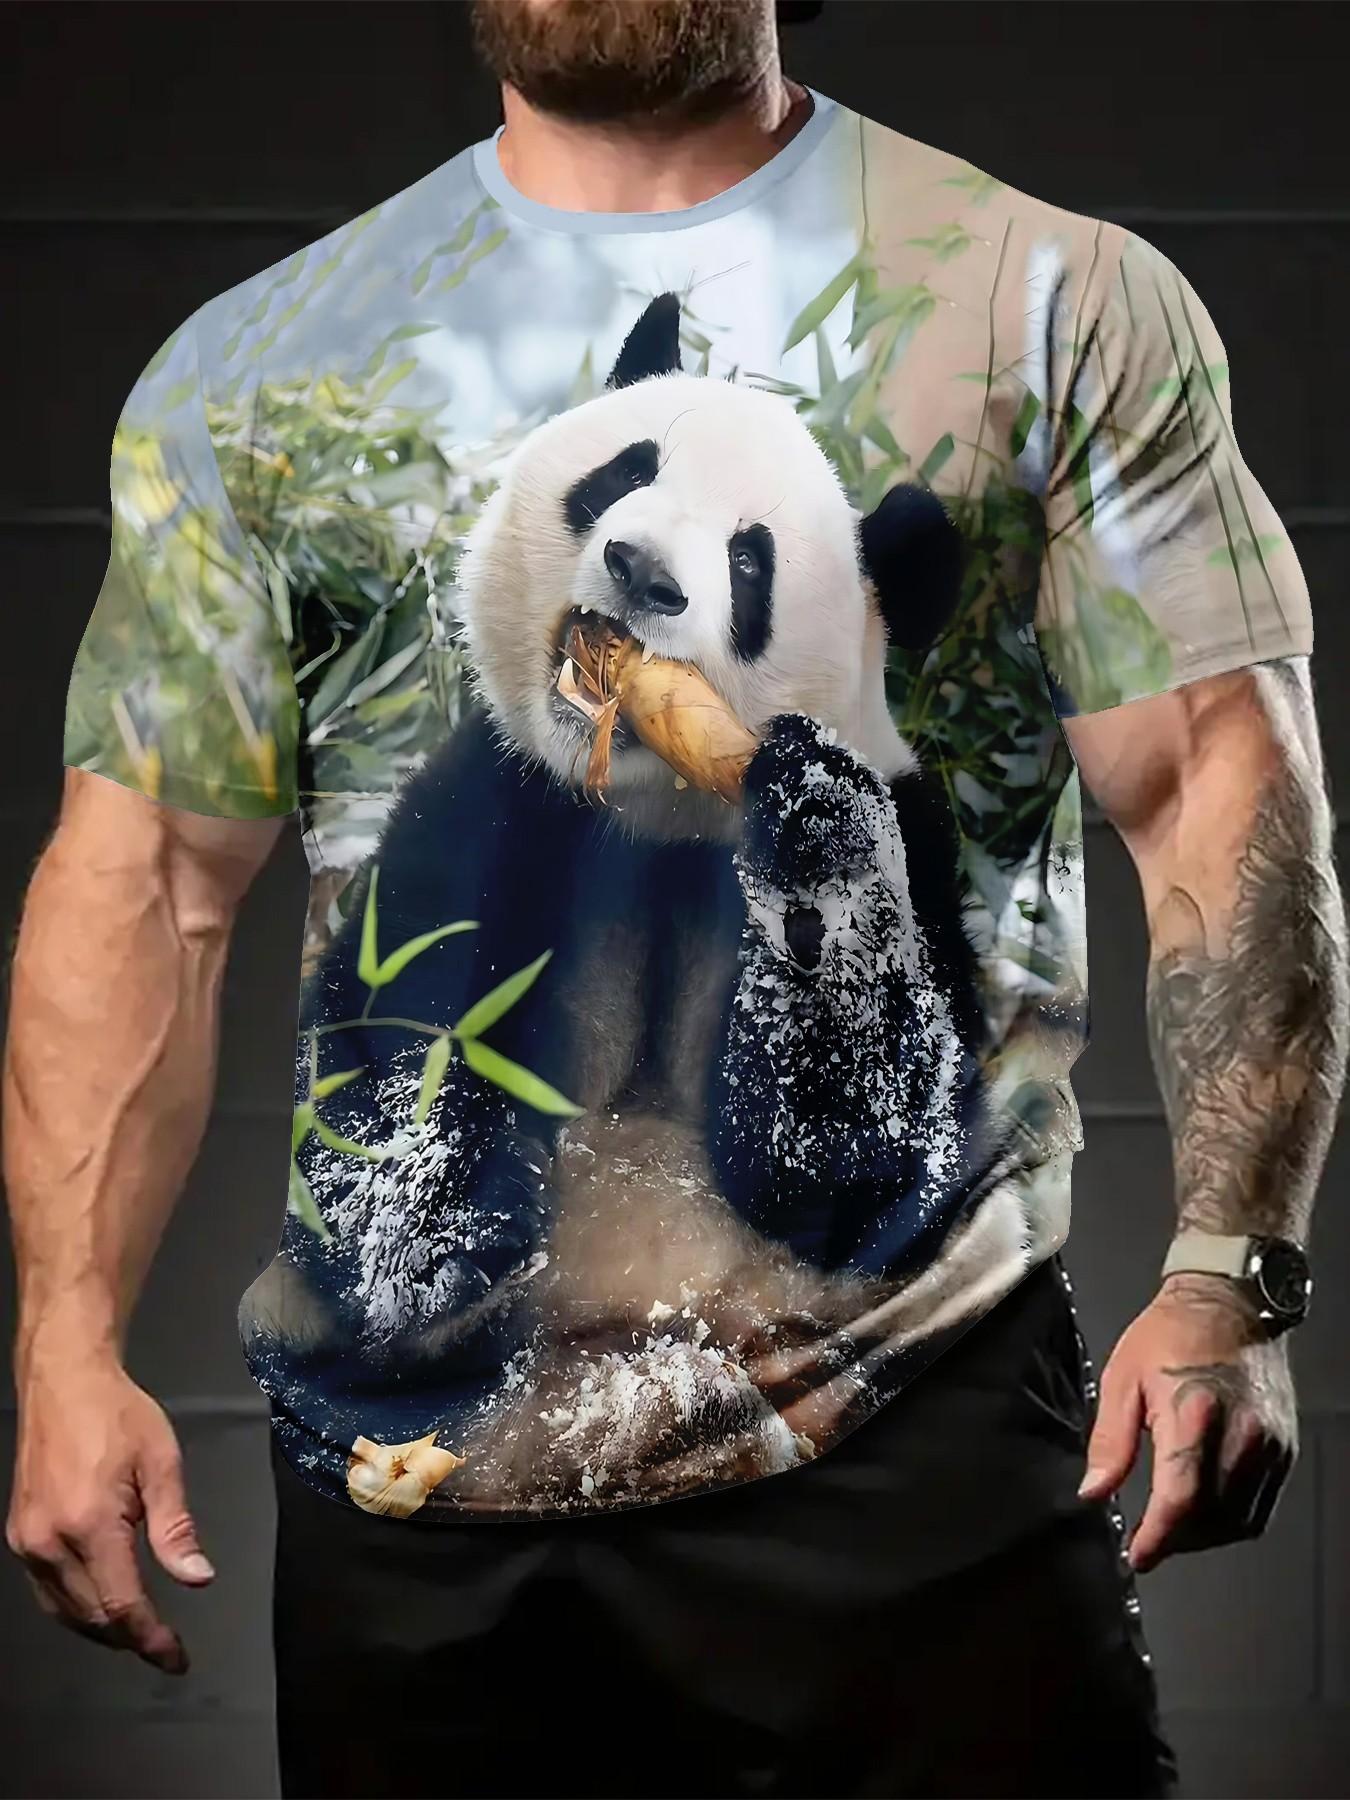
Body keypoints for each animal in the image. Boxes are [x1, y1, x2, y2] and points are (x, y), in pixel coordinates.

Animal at [245, 294, 1034, 1512]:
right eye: (627, 469)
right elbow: (380, 1049)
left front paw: (818, 842)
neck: (661, 814)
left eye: (750, 562)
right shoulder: (501, 797)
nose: (640, 567)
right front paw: (441, 1236)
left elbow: (860, 1176)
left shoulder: (924, 856)